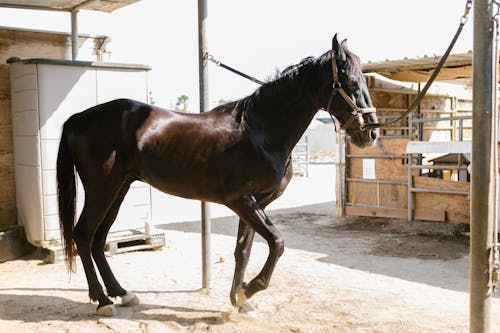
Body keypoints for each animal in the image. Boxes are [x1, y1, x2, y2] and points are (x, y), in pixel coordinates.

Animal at [56, 35, 378, 316]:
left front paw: (239, 299)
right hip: (102, 189)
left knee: (99, 239)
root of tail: (78, 118)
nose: (371, 133)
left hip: (119, 188)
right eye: (351, 82)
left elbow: (243, 250)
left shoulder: (257, 203)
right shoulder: (241, 200)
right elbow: (277, 243)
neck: (259, 131)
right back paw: (102, 301)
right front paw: (249, 290)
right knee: (84, 234)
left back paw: (122, 293)